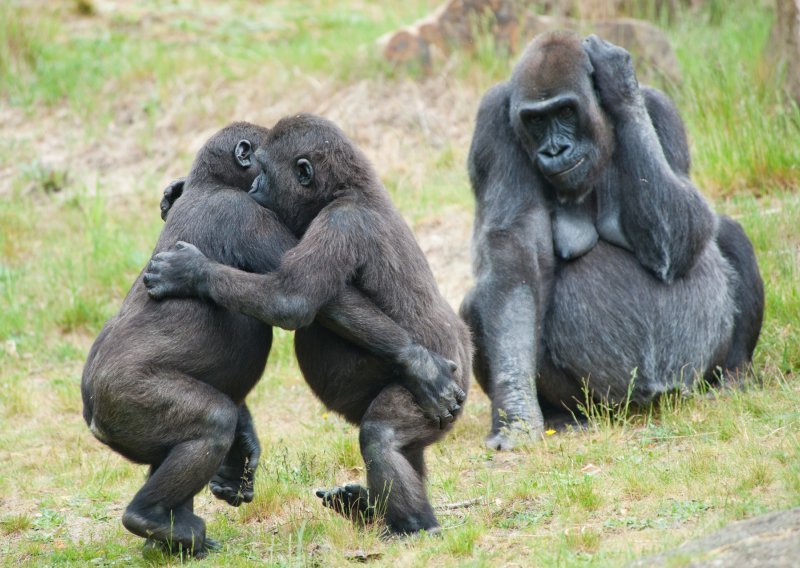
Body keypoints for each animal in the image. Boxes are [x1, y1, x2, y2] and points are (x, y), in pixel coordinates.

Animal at [81, 123, 462, 556]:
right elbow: (297, 300)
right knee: (214, 423)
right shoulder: (251, 213)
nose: (257, 185)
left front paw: (190, 269)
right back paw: (157, 521)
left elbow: (292, 298)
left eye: (264, 170)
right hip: (122, 401)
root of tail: (93, 416)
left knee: (384, 437)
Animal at [460, 31, 764, 450]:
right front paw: (517, 413)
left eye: (566, 112)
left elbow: (686, 231)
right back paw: (562, 415)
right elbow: (514, 265)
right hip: (598, 401)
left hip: (691, 379)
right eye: (536, 120)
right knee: (480, 300)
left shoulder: (661, 108)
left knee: (728, 232)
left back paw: (733, 376)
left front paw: (620, 86)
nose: (555, 150)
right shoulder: (493, 123)